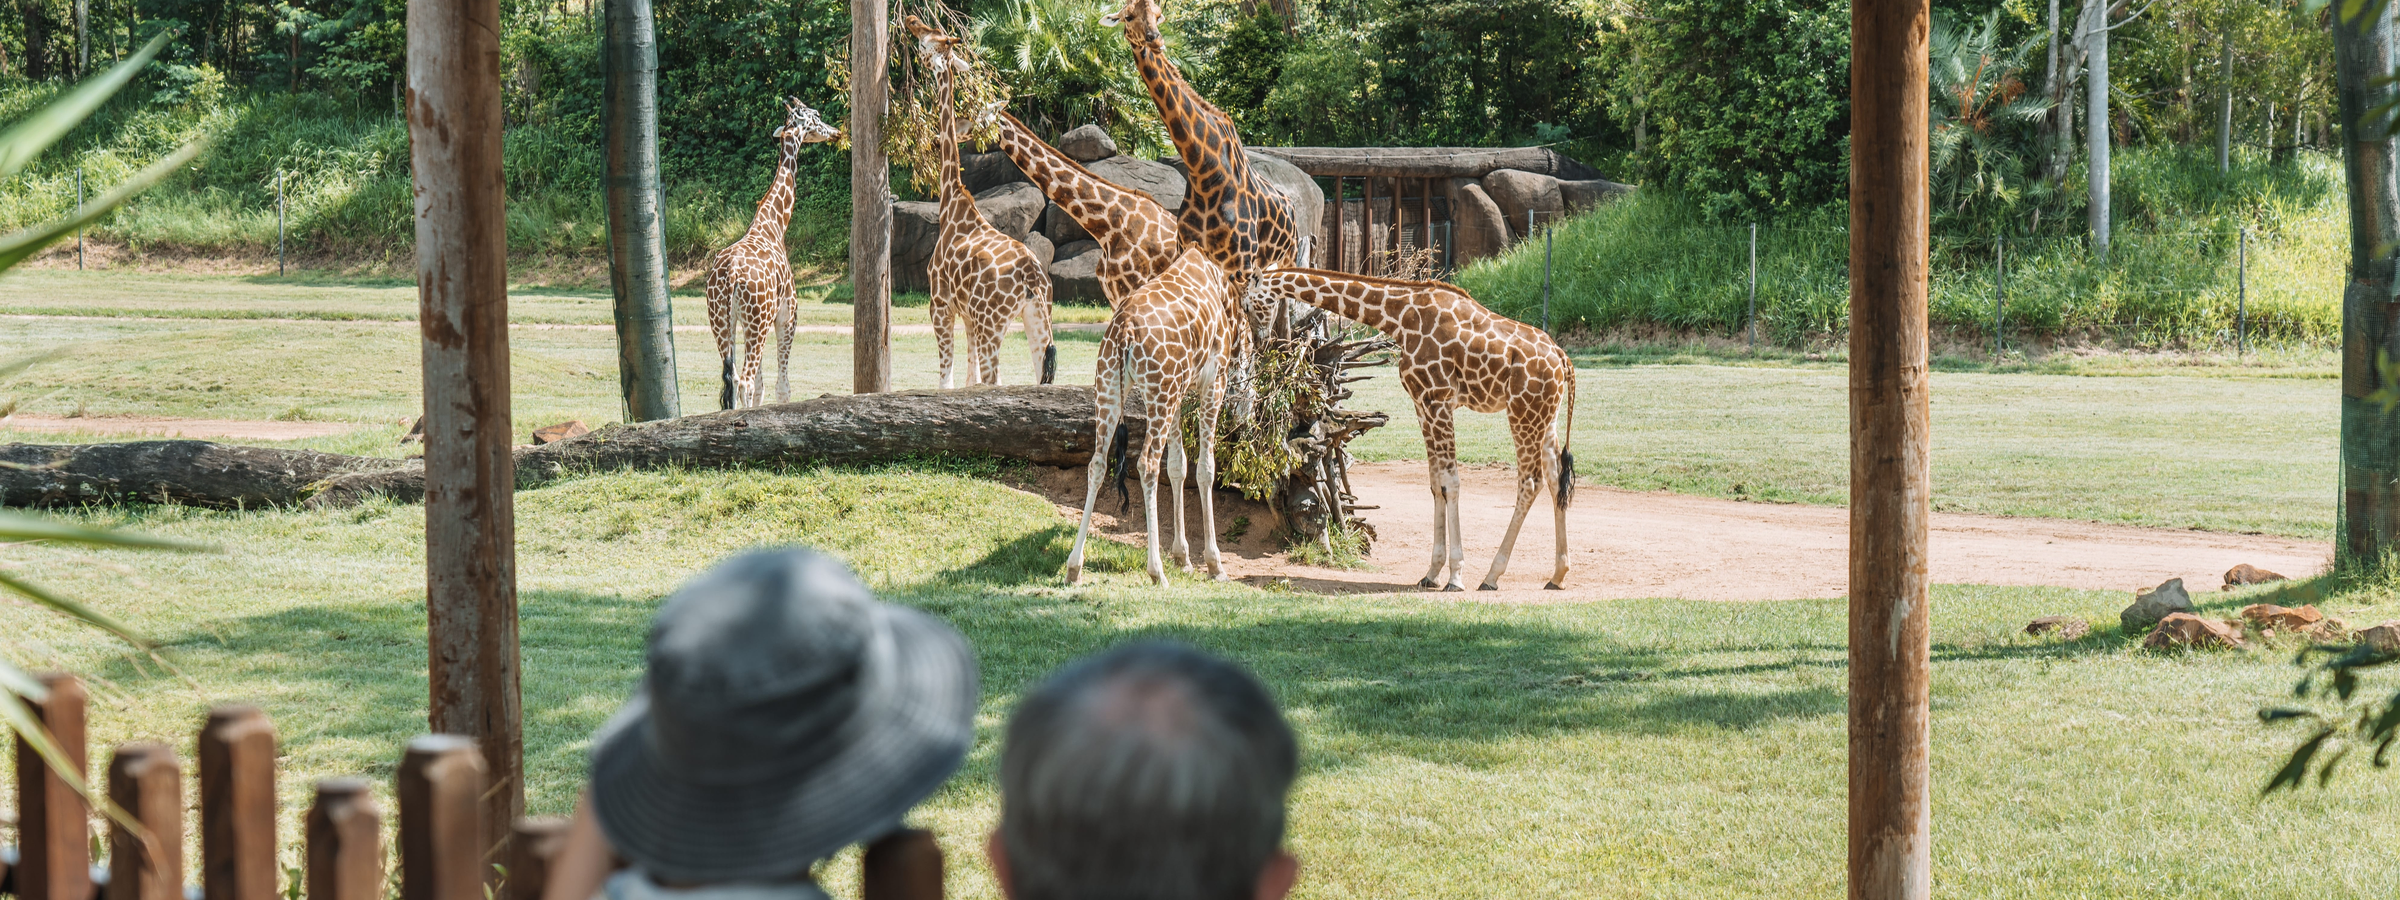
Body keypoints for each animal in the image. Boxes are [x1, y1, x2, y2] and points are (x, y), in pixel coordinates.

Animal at [705, 98, 842, 409]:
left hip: (722, 321)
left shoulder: (749, 322)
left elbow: (761, 387)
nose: (836, 132)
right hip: (756, 322)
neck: (774, 225)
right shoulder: (786, 316)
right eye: (816, 116)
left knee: (732, 380)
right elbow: (782, 388)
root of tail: (730, 275)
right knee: (743, 381)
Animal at [908, 16, 1056, 388]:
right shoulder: (968, 316)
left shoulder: (940, 303)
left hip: (994, 323)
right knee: (1039, 379)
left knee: (995, 380)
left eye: (930, 38)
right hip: (1036, 318)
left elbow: (946, 382)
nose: (912, 21)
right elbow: (968, 381)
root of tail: (1033, 280)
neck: (951, 204)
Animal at [1063, 247, 1249, 587]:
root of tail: (1124, 331)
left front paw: (1183, 557)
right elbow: (1205, 468)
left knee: (1097, 463)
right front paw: (1214, 564)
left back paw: (1074, 567)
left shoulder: (1178, 391)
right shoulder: (1211, 382)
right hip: (1159, 393)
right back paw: (1156, 571)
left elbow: (1177, 466)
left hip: (1110, 388)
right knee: (1147, 464)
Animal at [1104, 0, 1299, 334]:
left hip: (1289, 257)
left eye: (1159, 15)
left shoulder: (1241, 265)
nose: (1155, 39)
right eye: (1128, 16)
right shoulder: (1188, 250)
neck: (1203, 170)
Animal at [1246, 268, 1578, 591]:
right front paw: (1432, 573)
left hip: (1523, 412)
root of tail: (1564, 360)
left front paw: (1455, 577)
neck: (1400, 318)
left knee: (1530, 482)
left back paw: (1492, 576)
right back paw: (1558, 575)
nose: (1261, 343)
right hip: (1546, 416)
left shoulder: (1438, 399)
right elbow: (1436, 484)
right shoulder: (1422, 404)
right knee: (1554, 478)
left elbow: (1451, 483)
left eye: (1248, 305)